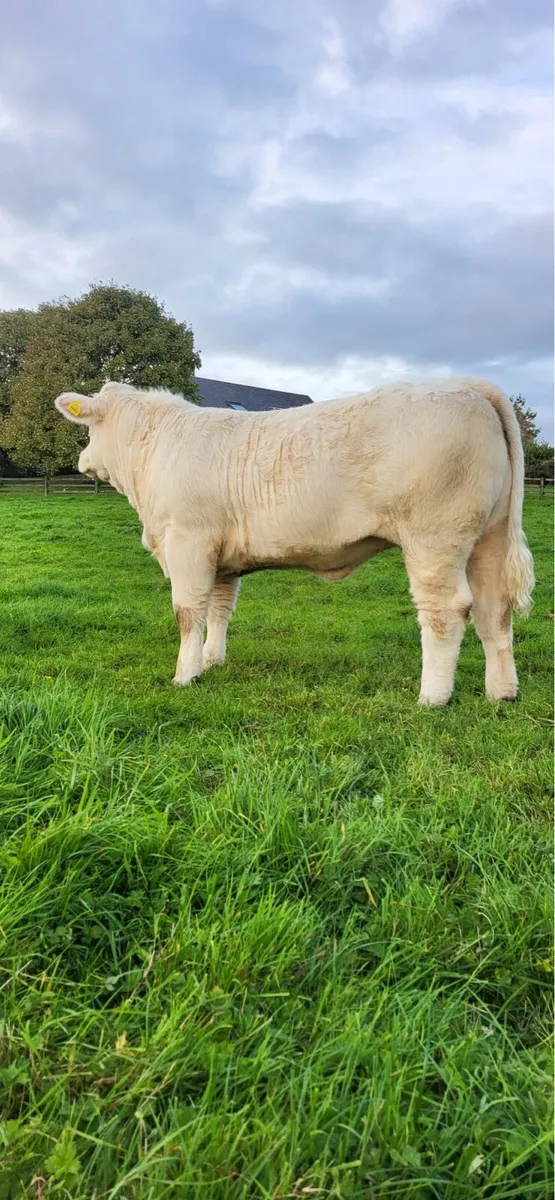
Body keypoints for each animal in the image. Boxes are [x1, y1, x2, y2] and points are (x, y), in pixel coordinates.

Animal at [54, 378, 534, 706]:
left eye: (89, 430)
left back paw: (432, 697)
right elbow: (220, 608)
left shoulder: (189, 538)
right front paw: (212, 661)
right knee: (494, 610)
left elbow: (189, 611)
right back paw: (501, 692)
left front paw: (184, 675)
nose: (80, 460)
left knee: (445, 611)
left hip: (434, 537)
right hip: (488, 537)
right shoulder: (222, 555)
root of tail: (465, 385)